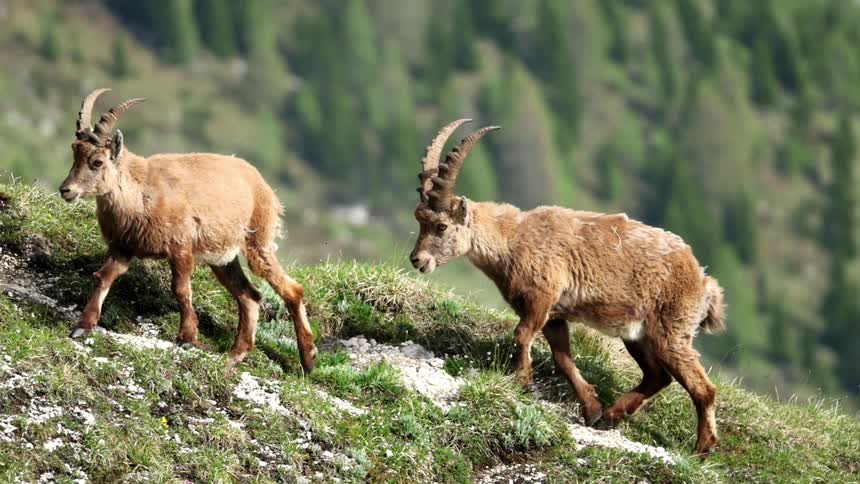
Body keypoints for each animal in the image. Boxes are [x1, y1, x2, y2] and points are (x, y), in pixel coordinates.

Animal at [59, 89, 317, 372]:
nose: (66, 190)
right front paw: (83, 326)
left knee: (292, 290)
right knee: (250, 296)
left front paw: (187, 338)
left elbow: (181, 289)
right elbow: (103, 276)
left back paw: (308, 358)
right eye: (74, 152)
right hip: (223, 259)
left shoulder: (180, 247)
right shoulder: (123, 246)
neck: (140, 191)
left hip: (258, 241)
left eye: (97, 161)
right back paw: (234, 355)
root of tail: (262, 184)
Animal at [409, 119, 726, 455]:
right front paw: (591, 408)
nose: (417, 260)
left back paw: (703, 449)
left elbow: (522, 335)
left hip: (671, 331)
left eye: (441, 225)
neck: (511, 240)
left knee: (703, 388)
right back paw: (611, 415)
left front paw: (521, 381)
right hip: (637, 334)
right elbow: (563, 359)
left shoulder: (541, 298)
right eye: (420, 220)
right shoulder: (554, 315)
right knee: (658, 376)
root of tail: (703, 280)